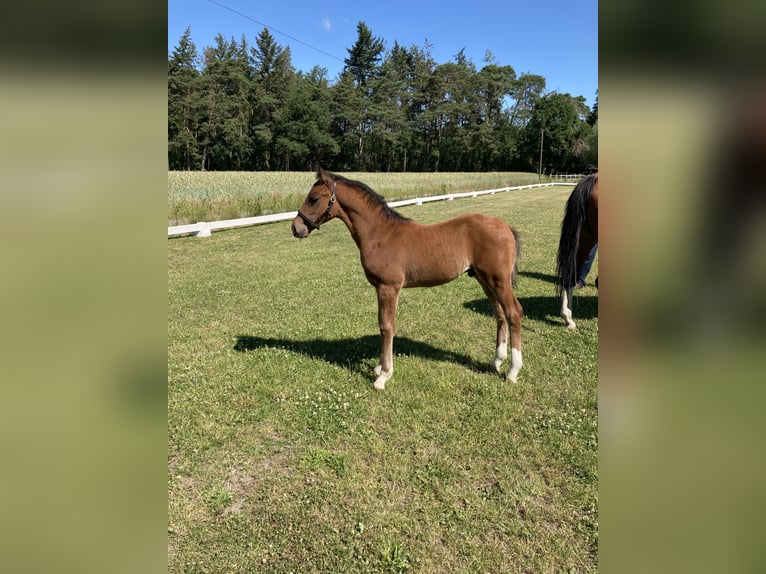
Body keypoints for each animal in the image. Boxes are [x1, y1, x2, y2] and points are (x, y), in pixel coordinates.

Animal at [292, 166, 524, 392]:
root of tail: (506, 228)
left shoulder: (388, 287)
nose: (296, 228)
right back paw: (496, 362)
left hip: (499, 281)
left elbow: (386, 326)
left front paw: (383, 376)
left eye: (313, 198)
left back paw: (512, 372)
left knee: (513, 313)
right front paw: (379, 368)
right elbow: (382, 324)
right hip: (485, 281)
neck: (380, 234)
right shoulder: (380, 288)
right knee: (500, 315)